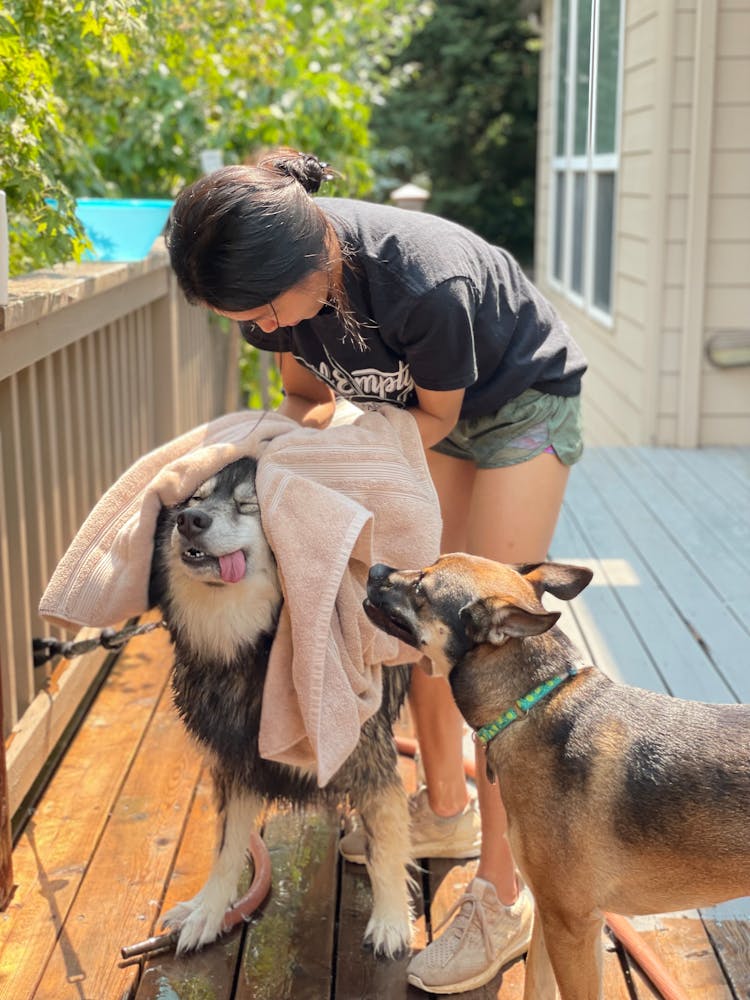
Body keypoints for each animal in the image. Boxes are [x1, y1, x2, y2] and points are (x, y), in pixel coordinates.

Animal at [149, 458, 414, 956]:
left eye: (249, 506)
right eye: (195, 499)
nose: (189, 521)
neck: (254, 648)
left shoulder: (369, 759)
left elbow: (388, 843)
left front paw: (391, 920)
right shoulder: (235, 761)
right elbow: (227, 847)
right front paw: (208, 910)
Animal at [364, 556, 750, 1000]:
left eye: (421, 588)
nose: (373, 569)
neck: (532, 702)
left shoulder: (572, 926)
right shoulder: (551, 918)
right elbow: (536, 985)